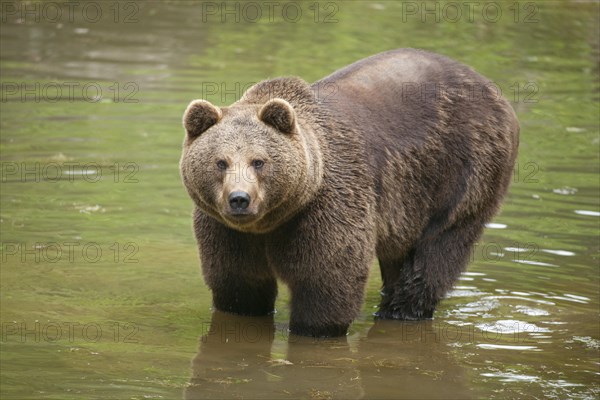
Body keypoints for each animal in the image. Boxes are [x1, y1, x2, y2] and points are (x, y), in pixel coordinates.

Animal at [180, 49, 516, 338]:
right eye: (220, 162)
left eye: (258, 161)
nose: (239, 199)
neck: (272, 221)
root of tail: (488, 86)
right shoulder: (229, 232)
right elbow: (239, 286)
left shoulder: (327, 206)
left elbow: (327, 280)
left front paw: (313, 327)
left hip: (463, 170)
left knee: (438, 248)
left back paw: (400, 309)